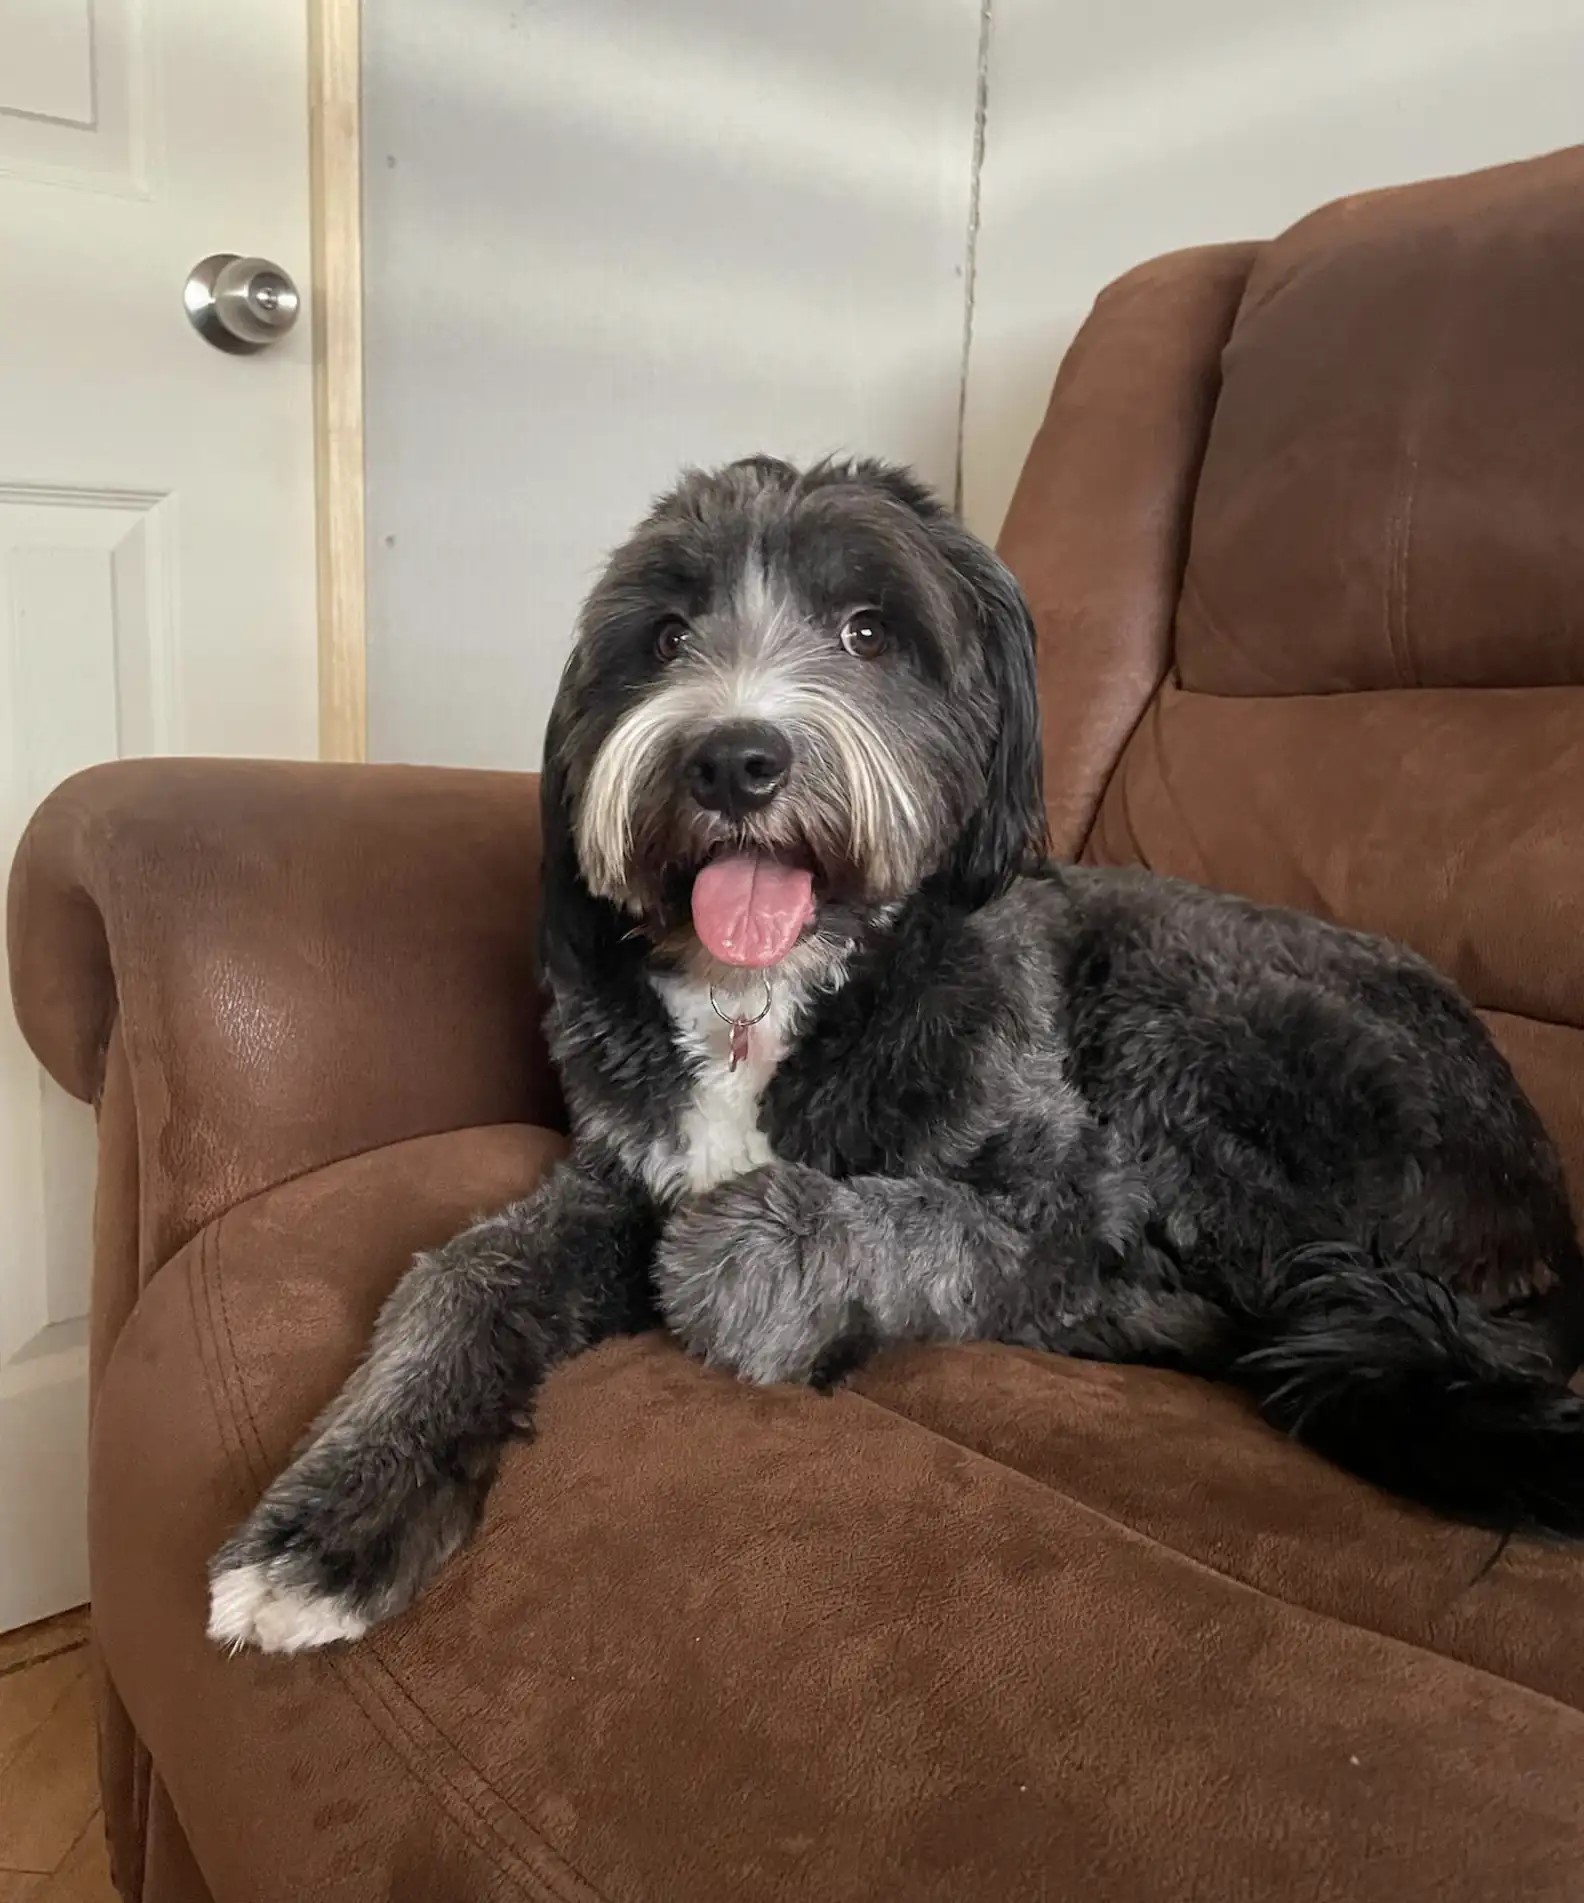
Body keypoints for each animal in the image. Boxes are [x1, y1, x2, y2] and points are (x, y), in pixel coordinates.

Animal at [210, 456, 1584, 1651]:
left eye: (869, 631)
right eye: (664, 636)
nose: (733, 757)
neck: (771, 996)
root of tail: (1547, 1212)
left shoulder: (1066, 1195)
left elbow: (886, 1228)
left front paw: (750, 1266)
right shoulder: (617, 1168)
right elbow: (461, 1277)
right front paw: (330, 1522)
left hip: (1189, 1015)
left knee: (1223, 1296)